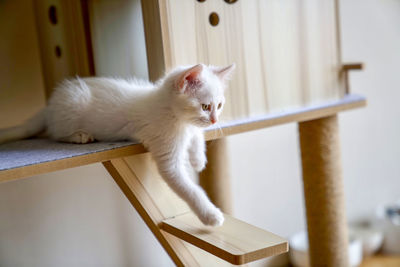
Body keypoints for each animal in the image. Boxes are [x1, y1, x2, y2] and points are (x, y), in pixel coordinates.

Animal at [0, 63, 234, 227]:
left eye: (220, 105)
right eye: (205, 107)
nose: (215, 121)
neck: (173, 114)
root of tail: (49, 106)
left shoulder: (189, 128)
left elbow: (196, 134)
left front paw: (198, 160)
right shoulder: (167, 154)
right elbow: (189, 188)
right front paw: (211, 215)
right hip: (73, 106)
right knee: (54, 132)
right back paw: (79, 136)